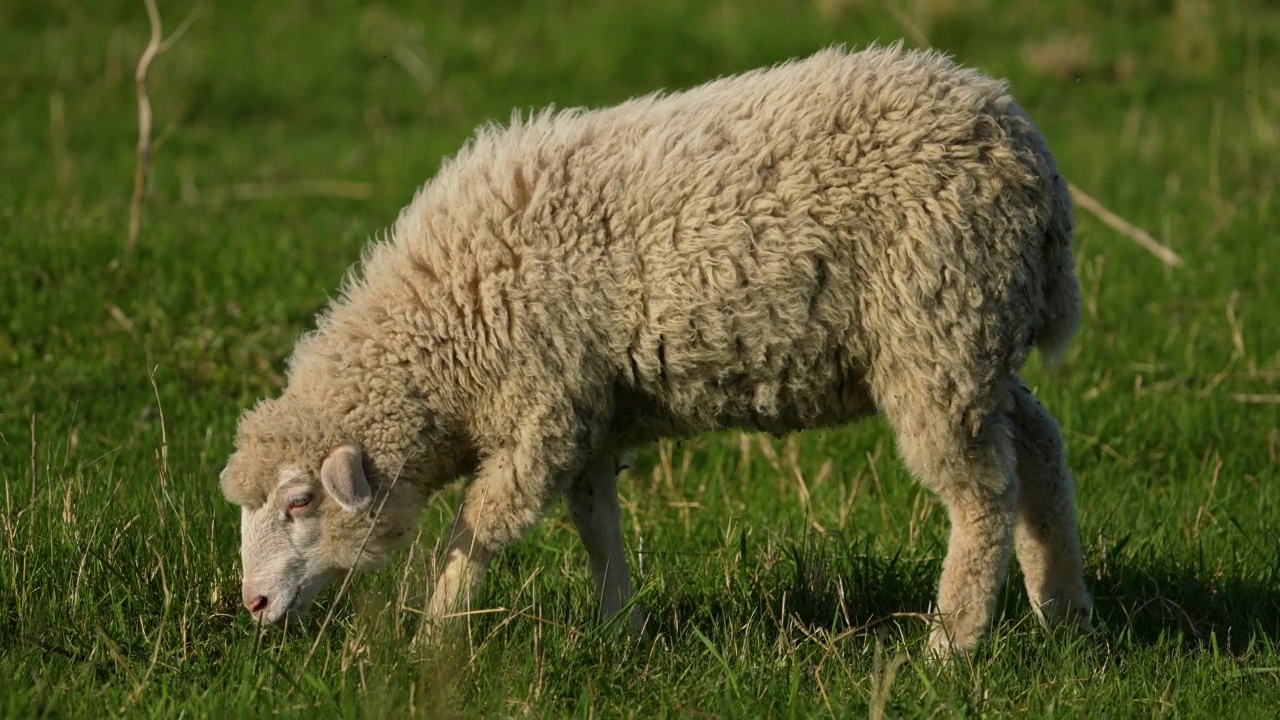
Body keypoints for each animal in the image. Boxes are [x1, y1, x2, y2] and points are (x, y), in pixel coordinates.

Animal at [217, 41, 1090, 653]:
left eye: (300, 502)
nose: (253, 604)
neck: (446, 331)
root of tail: (1027, 148)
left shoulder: (542, 410)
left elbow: (482, 528)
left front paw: (432, 638)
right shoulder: (589, 414)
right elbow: (596, 522)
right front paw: (620, 631)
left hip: (936, 331)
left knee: (982, 491)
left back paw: (951, 646)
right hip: (976, 335)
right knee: (1041, 446)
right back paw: (1062, 611)